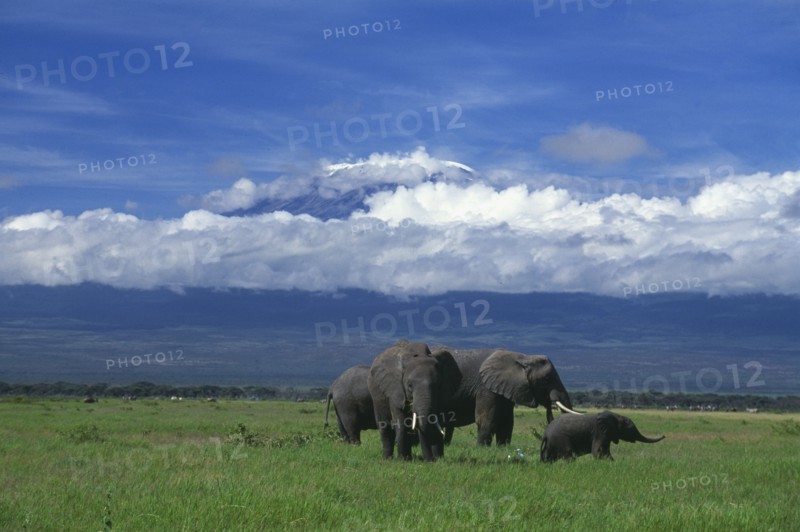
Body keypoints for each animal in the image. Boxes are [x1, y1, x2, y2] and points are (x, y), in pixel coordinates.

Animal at [439, 348, 580, 447]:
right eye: (547, 379)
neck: (522, 358)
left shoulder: (506, 388)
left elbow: (507, 422)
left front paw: (502, 448)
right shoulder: (485, 387)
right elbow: (487, 419)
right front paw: (481, 449)